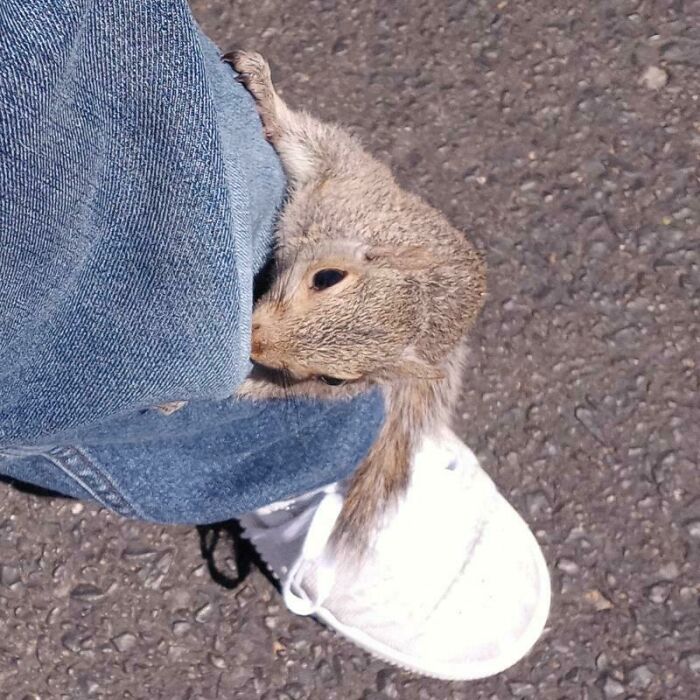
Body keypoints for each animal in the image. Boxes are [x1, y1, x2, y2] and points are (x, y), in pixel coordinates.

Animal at [219, 51, 486, 555]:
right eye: (327, 277)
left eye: (335, 379)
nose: (256, 345)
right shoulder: (343, 186)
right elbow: (308, 141)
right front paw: (264, 89)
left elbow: (275, 390)